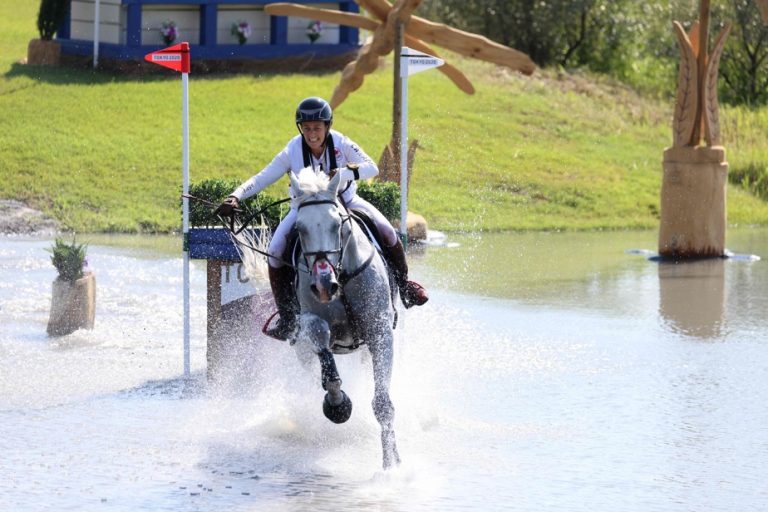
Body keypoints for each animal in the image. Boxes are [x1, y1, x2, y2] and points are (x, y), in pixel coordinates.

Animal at [284, 169, 400, 468]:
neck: (342, 278)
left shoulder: (381, 333)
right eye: (299, 229)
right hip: (301, 350)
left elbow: (382, 403)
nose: (324, 284)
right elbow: (327, 363)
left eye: (338, 224)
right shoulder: (310, 322)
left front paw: (392, 464)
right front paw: (338, 406)